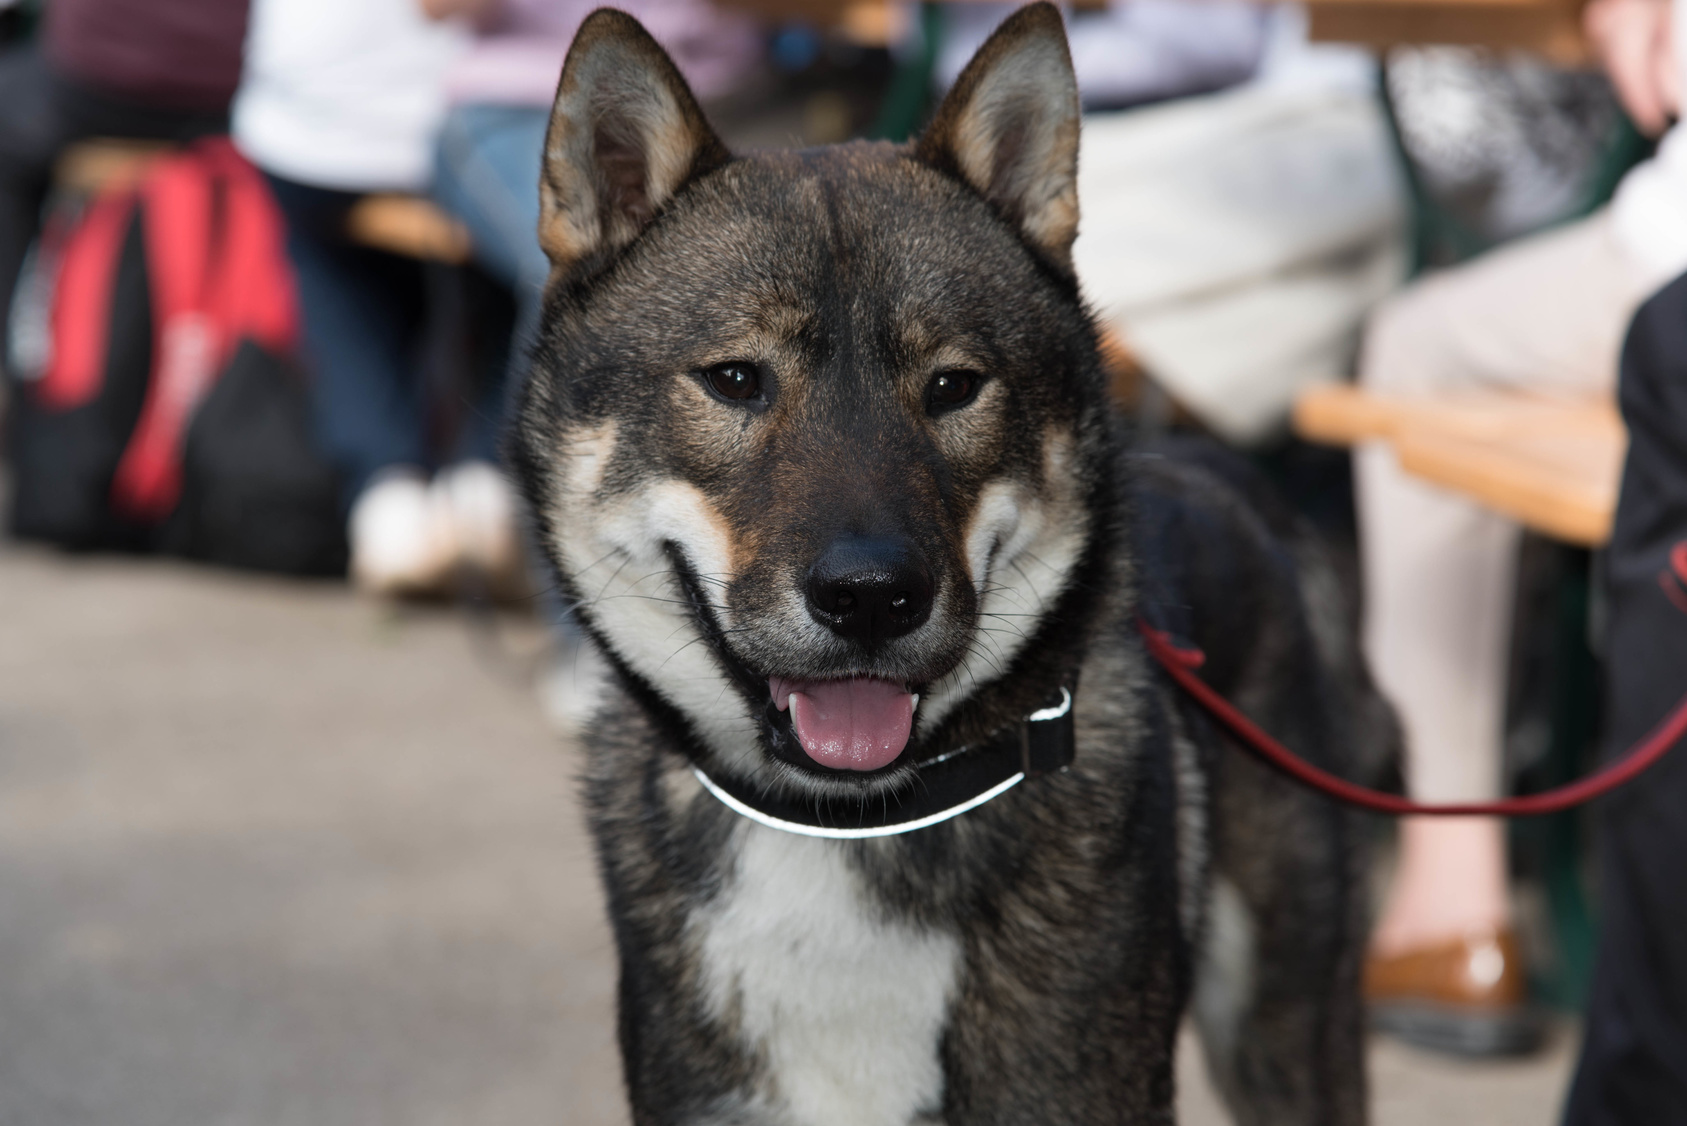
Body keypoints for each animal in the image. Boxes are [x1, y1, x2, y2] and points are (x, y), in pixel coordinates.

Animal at [509, 4, 1396, 1120]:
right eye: (735, 379)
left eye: (953, 386)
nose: (869, 597)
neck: (844, 830)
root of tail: (1226, 470)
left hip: (1285, 1024)